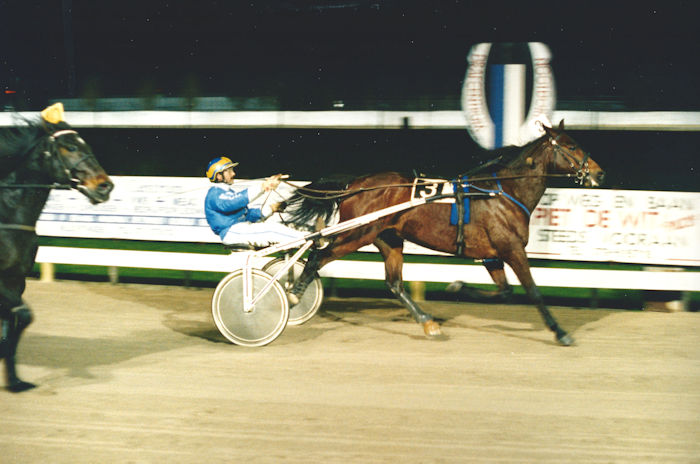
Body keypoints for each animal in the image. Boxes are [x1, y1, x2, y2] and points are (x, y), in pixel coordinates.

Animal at [0, 105, 113, 392]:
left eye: (86, 145)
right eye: (70, 147)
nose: (105, 186)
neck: (7, 215)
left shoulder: (16, 279)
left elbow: (20, 319)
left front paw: (15, 380)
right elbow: (20, 317)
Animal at [282, 121, 604, 346]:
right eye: (571, 145)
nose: (599, 173)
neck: (504, 192)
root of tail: (355, 184)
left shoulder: (493, 256)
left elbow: (504, 291)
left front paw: (457, 286)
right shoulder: (512, 249)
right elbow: (533, 292)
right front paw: (561, 332)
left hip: (388, 238)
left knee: (394, 283)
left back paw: (428, 322)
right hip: (357, 233)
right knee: (318, 255)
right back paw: (294, 295)